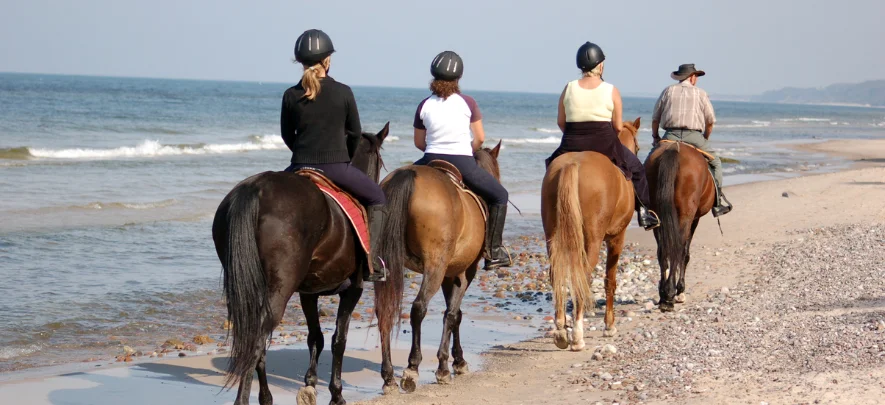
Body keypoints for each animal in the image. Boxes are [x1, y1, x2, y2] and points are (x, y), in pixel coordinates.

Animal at [212, 123, 388, 404]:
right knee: (257, 342)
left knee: (254, 339)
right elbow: (339, 339)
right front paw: (336, 393)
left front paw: (311, 384)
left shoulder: (308, 293)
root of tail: (257, 189)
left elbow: (315, 337)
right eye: (380, 161)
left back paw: (266, 397)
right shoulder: (354, 289)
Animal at [372, 141, 504, 392]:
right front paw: (446, 365)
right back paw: (412, 368)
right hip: (435, 266)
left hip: (386, 265)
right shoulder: (464, 271)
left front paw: (458, 360)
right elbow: (453, 314)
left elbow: (455, 313)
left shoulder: (449, 274)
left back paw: (388, 376)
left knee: (384, 311)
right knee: (418, 308)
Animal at [540, 117, 644, 350]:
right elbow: (610, 280)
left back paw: (561, 331)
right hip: (593, 241)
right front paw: (609, 326)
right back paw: (577, 336)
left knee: (557, 274)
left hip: (552, 236)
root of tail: (572, 164)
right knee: (584, 277)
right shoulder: (617, 238)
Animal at [644, 140, 716, 310]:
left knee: (663, 250)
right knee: (679, 248)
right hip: (686, 215)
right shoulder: (694, 219)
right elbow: (685, 252)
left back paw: (664, 294)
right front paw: (680, 290)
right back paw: (672, 293)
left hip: (657, 215)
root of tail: (673, 148)